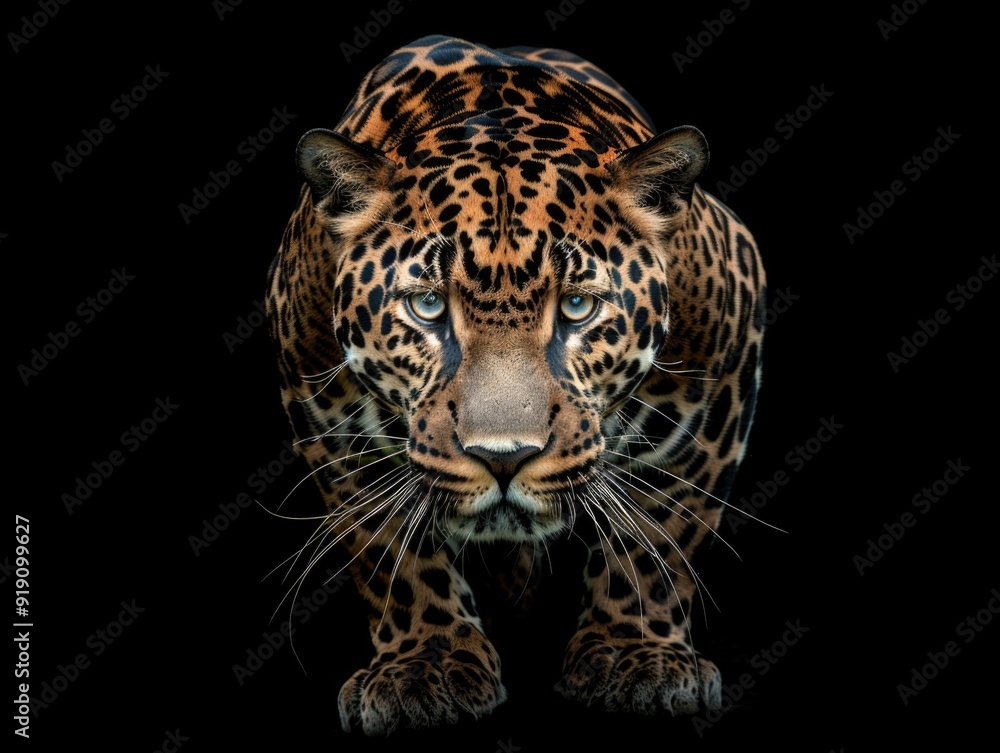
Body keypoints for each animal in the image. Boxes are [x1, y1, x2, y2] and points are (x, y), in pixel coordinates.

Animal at [266, 34, 766, 736]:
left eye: (578, 307)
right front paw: (427, 664)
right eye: (427, 306)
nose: (503, 459)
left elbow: (660, 532)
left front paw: (635, 654)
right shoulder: (317, 397)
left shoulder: (721, 365)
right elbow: (387, 548)